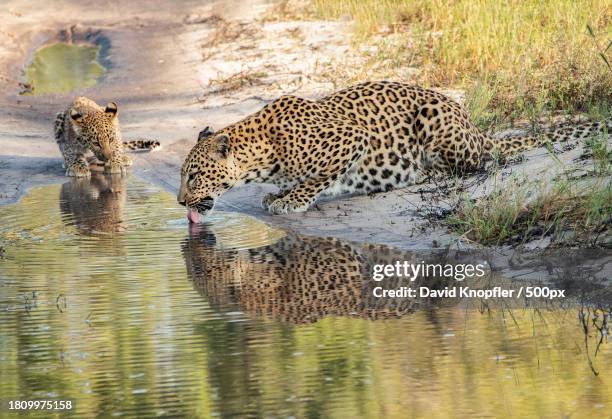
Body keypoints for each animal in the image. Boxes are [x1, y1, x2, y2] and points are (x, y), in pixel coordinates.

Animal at [177, 82, 608, 220]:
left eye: (194, 176)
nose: (180, 203)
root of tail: (477, 128)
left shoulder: (351, 139)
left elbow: (318, 178)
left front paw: (290, 200)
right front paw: (280, 193)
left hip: (434, 120)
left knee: (472, 165)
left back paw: (423, 173)